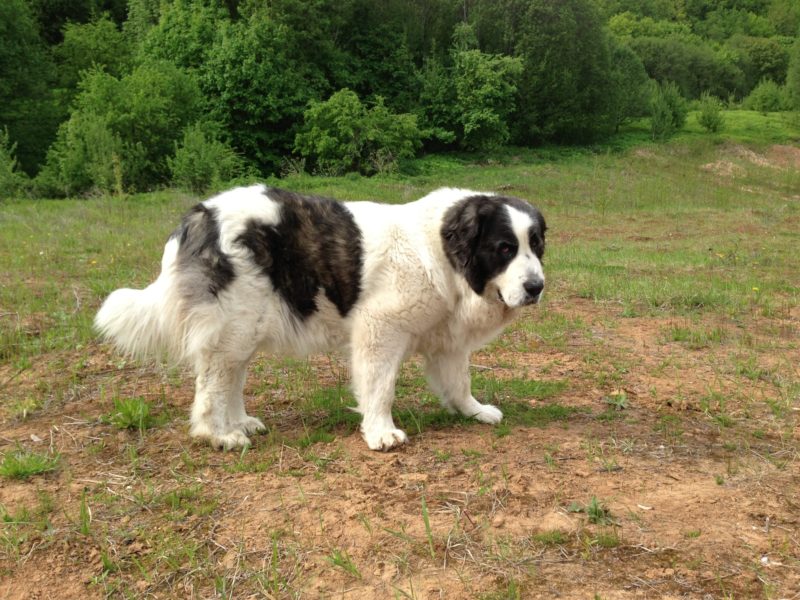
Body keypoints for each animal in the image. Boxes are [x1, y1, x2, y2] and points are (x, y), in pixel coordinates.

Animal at [95, 186, 546, 451]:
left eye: (537, 246)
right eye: (505, 248)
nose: (536, 286)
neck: (439, 252)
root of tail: (199, 216)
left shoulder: (445, 340)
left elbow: (458, 382)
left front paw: (474, 410)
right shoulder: (380, 330)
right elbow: (380, 388)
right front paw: (381, 432)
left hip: (244, 328)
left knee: (231, 378)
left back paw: (241, 422)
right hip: (233, 325)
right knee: (212, 385)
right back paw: (219, 434)